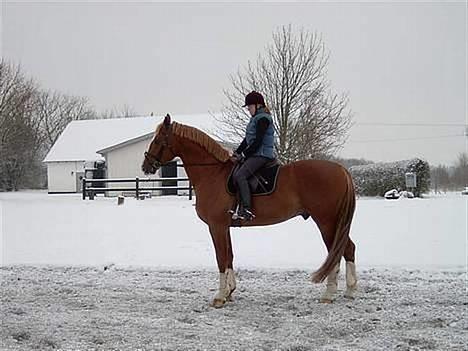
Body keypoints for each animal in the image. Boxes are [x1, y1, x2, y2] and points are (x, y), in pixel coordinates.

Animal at [141, 115, 356, 308]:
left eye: (158, 140)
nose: (146, 166)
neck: (213, 174)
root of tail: (341, 170)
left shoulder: (216, 226)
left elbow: (221, 258)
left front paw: (220, 296)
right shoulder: (225, 226)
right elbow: (229, 256)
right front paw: (230, 291)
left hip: (326, 222)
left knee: (336, 252)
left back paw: (329, 294)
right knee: (348, 249)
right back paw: (350, 290)